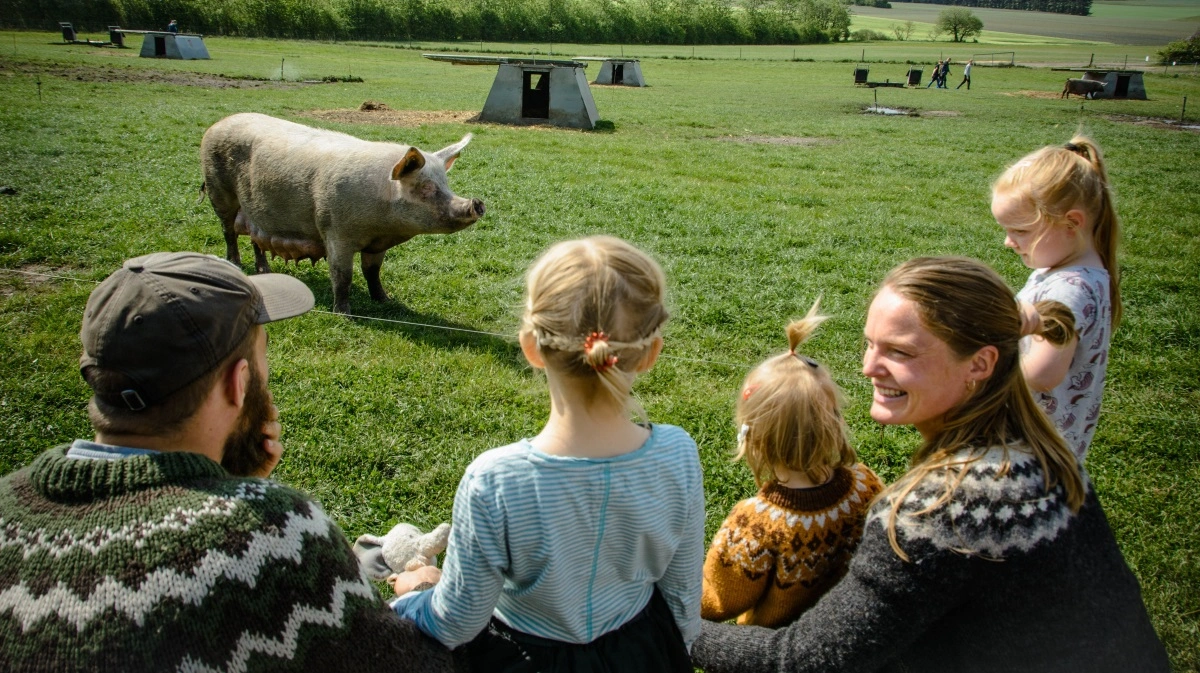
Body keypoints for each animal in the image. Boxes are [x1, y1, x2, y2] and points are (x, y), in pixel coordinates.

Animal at [196, 113, 482, 314]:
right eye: (425, 188)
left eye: (446, 184)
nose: (476, 203)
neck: (382, 222)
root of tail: (216, 125)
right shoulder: (335, 231)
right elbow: (342, 275)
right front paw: (345, 314)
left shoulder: (377, 244)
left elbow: (372, 272)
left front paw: (385, 300)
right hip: (219, 192)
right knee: (228, 231)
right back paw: (235, 264)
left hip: (255, 209)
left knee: (256, 238)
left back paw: (264, 270)